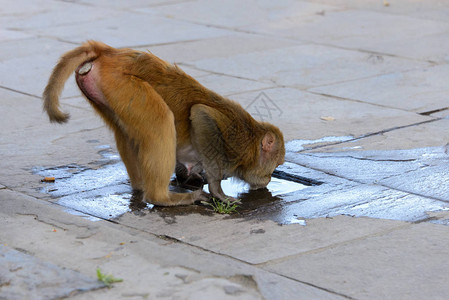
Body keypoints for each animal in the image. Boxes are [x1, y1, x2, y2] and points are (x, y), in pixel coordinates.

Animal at [43, 41, 286, 206]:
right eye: (276, 165)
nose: (269, 178)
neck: (251, 146)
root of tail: (111, 53)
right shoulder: (235, 138)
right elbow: (201, 114)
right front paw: (217, 190)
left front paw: (191, 177)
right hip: (123, 84)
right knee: (161, 120)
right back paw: (161, 197)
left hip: (113, 91)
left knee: (127, 131)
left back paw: (142, 186)